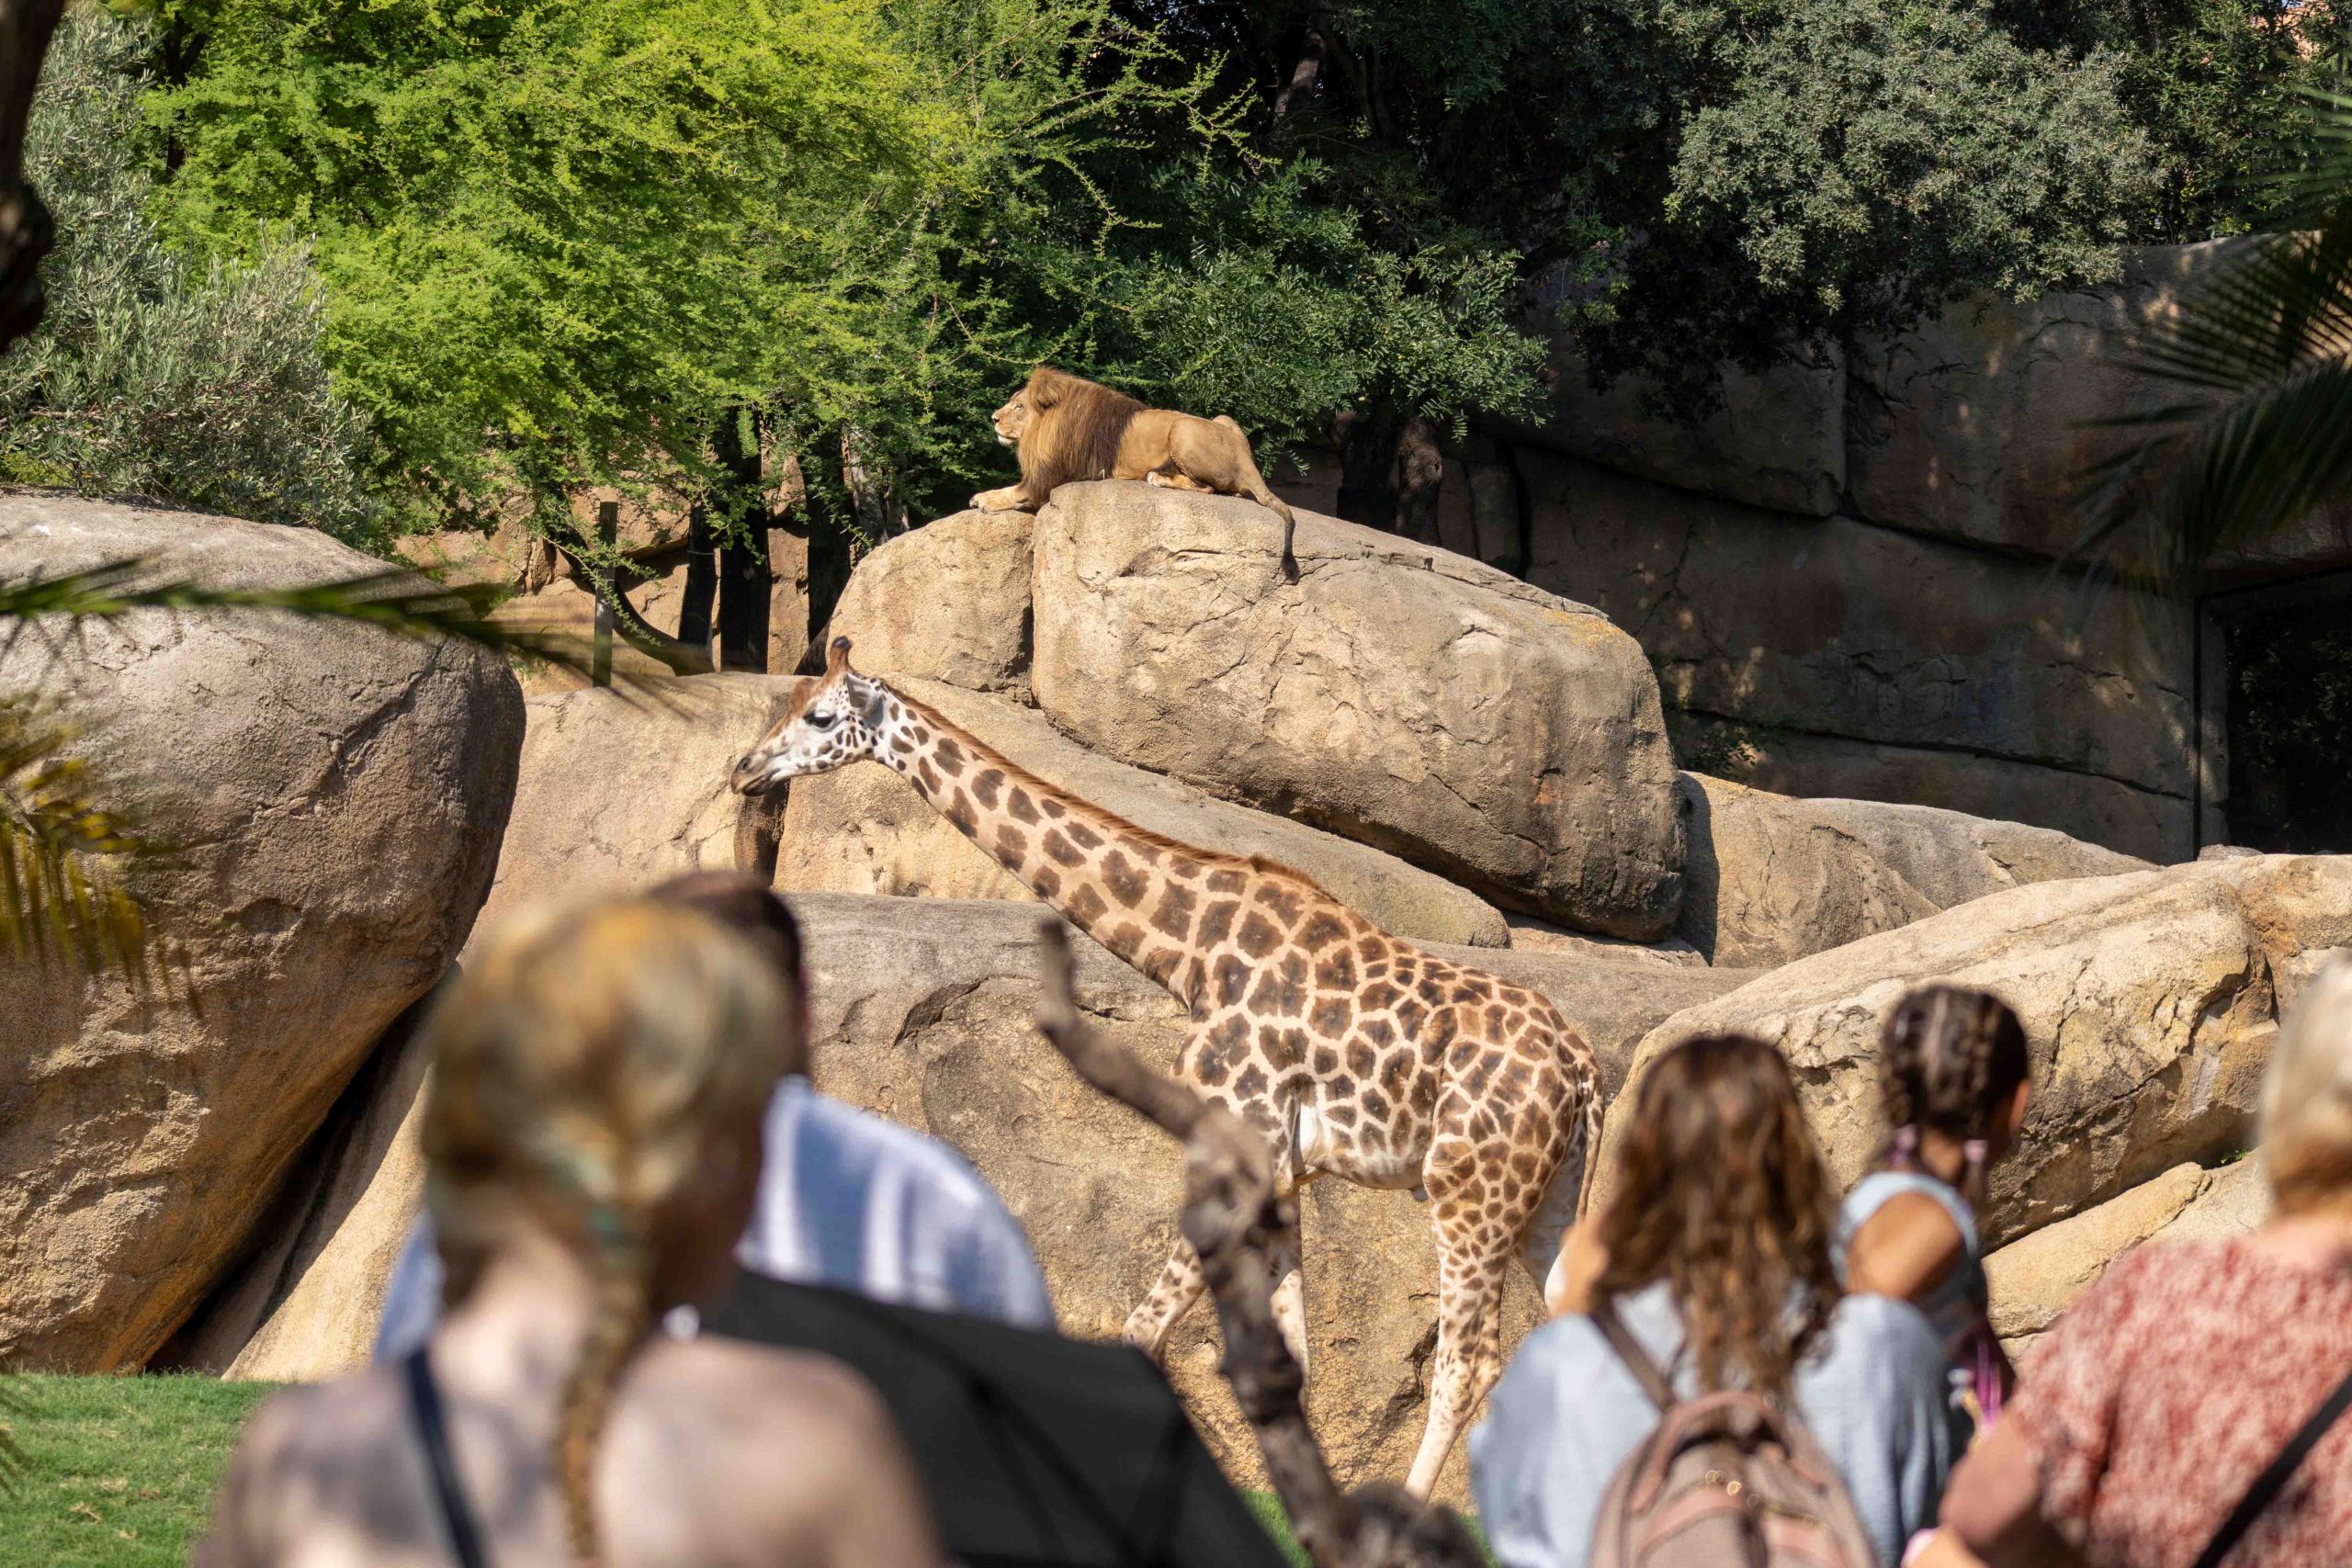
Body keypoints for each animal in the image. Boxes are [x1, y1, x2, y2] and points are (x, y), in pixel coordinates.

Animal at [731, 638, 1606, 1494]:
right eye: (787, 701)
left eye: (818, 715)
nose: (743, 769)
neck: (1194, 949)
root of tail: (1583, 1071)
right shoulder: (1282, 1166)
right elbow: (1293, 1356)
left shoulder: (1237, 1143)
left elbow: (1144, 1330)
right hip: (1545, 1201)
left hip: (1470, 1197)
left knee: (1467, 1364)